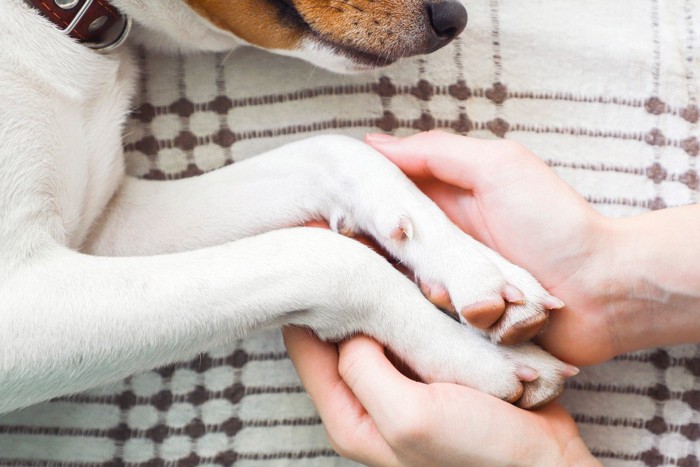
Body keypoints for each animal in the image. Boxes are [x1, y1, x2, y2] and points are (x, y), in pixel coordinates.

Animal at [0, 0, 576, 416]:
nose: (453, 18)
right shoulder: (25, 301)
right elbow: (324, 257)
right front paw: (481, 357)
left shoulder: (107, 222)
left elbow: (336, 151)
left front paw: (480, 270)